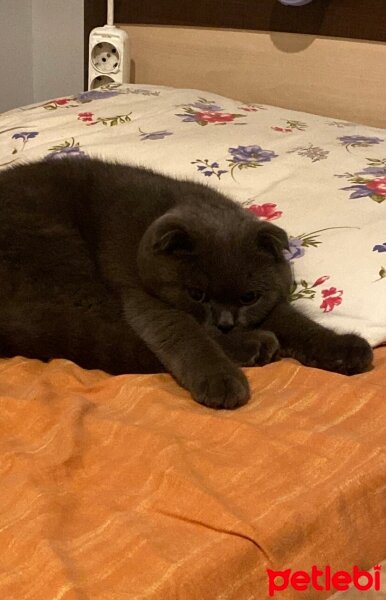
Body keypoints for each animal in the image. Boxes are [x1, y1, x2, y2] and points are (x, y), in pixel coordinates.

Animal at [0, 157, 372, 408]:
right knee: (116, 337)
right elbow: (184, 333)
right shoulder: (144, 298)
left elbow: (296, 321)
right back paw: (256, 347)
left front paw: (342, 349)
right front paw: (220, 379)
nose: (225, 323)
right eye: (197, 294)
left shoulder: (269, 303)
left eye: (249, 297)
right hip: (62, 256)